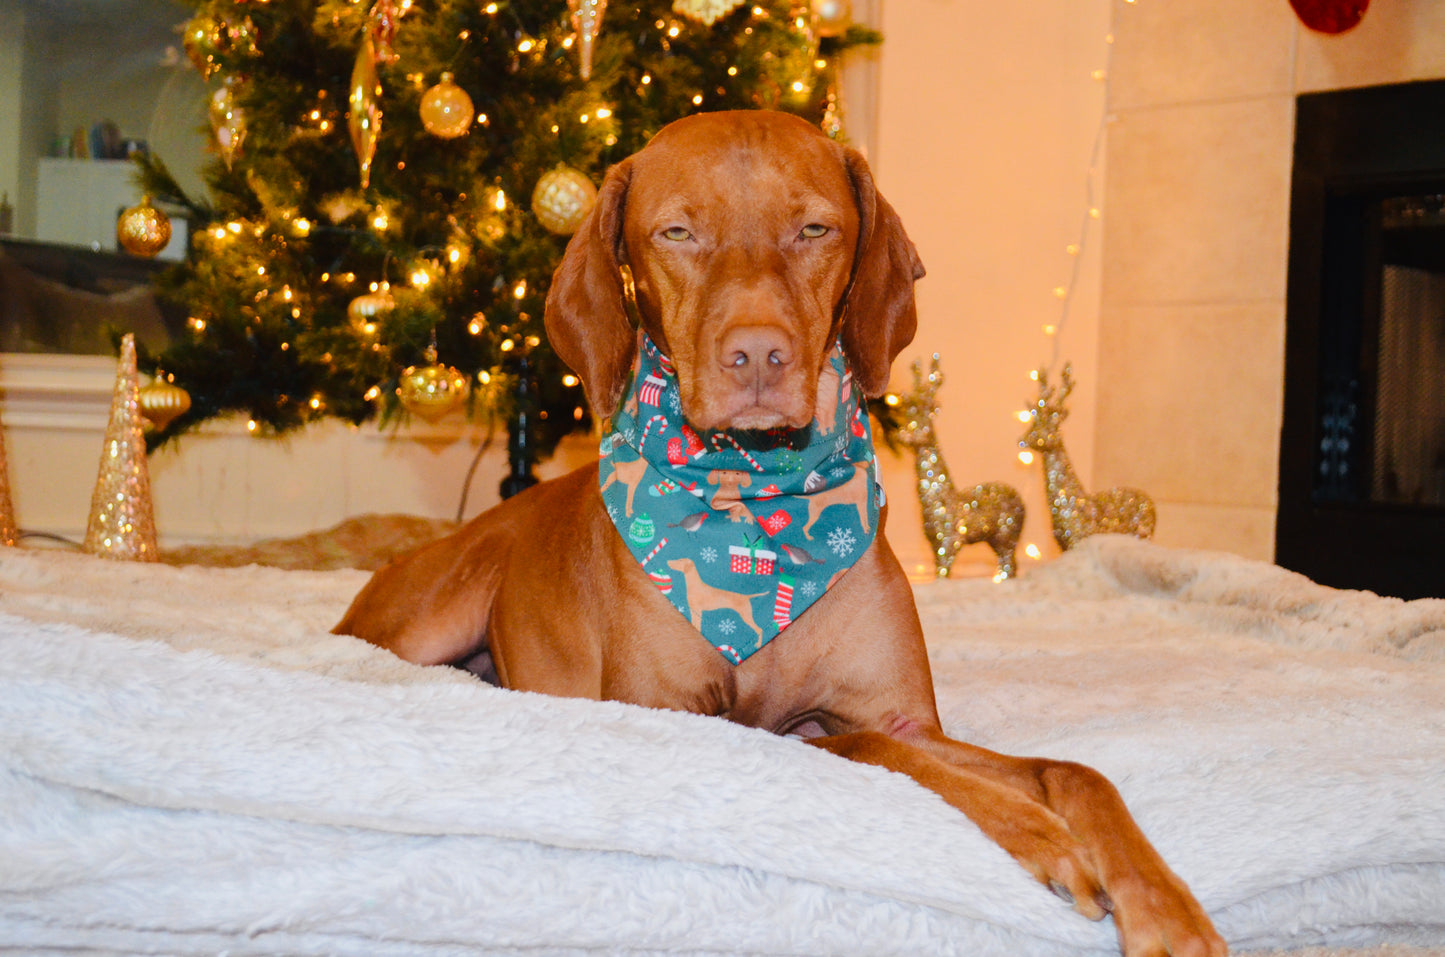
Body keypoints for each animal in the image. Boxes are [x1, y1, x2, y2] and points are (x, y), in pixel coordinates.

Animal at [332, 108, 1225, 957]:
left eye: (814, 229)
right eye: (676, 232)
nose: (758, 355)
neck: (760, 508)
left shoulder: (902, 715)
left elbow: (1069, 770)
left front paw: (1163, 901)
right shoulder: (690, 721)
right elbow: (862, 749)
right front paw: (1042, 836)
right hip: (432, 612)